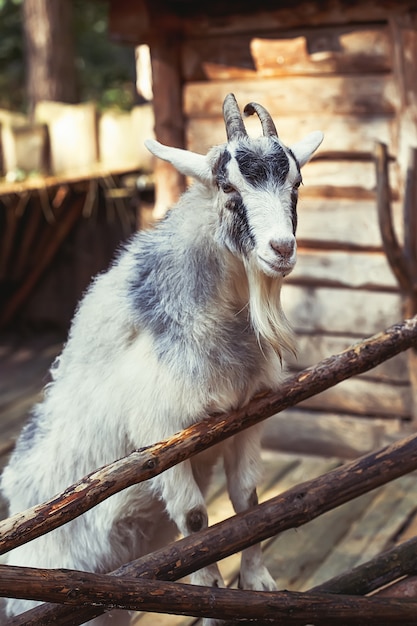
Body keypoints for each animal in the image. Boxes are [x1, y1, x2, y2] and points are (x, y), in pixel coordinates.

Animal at [1, 90, 324, 620]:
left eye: (295, 183)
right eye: (228, 187)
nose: (282, 249)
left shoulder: (246, 417)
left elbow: (248, 501)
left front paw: (258, 582)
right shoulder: (162, 437)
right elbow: (195, 518)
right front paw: (209, 598)